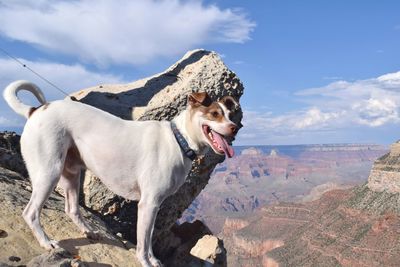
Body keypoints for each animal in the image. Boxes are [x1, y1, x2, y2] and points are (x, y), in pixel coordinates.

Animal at [3, 80, 238, 266]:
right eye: (214, 114)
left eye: (229, 115)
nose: (235, 128)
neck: (178, 139)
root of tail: (36, 110)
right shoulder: (148, 204)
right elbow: (143, 244)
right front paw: (145, 262)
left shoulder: (154, 207)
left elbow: (148, 239)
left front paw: (154, 260)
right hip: (48, 173)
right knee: (30, 213)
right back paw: (47, 242)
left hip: (71, 174)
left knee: (71, 209)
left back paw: (89, 231)